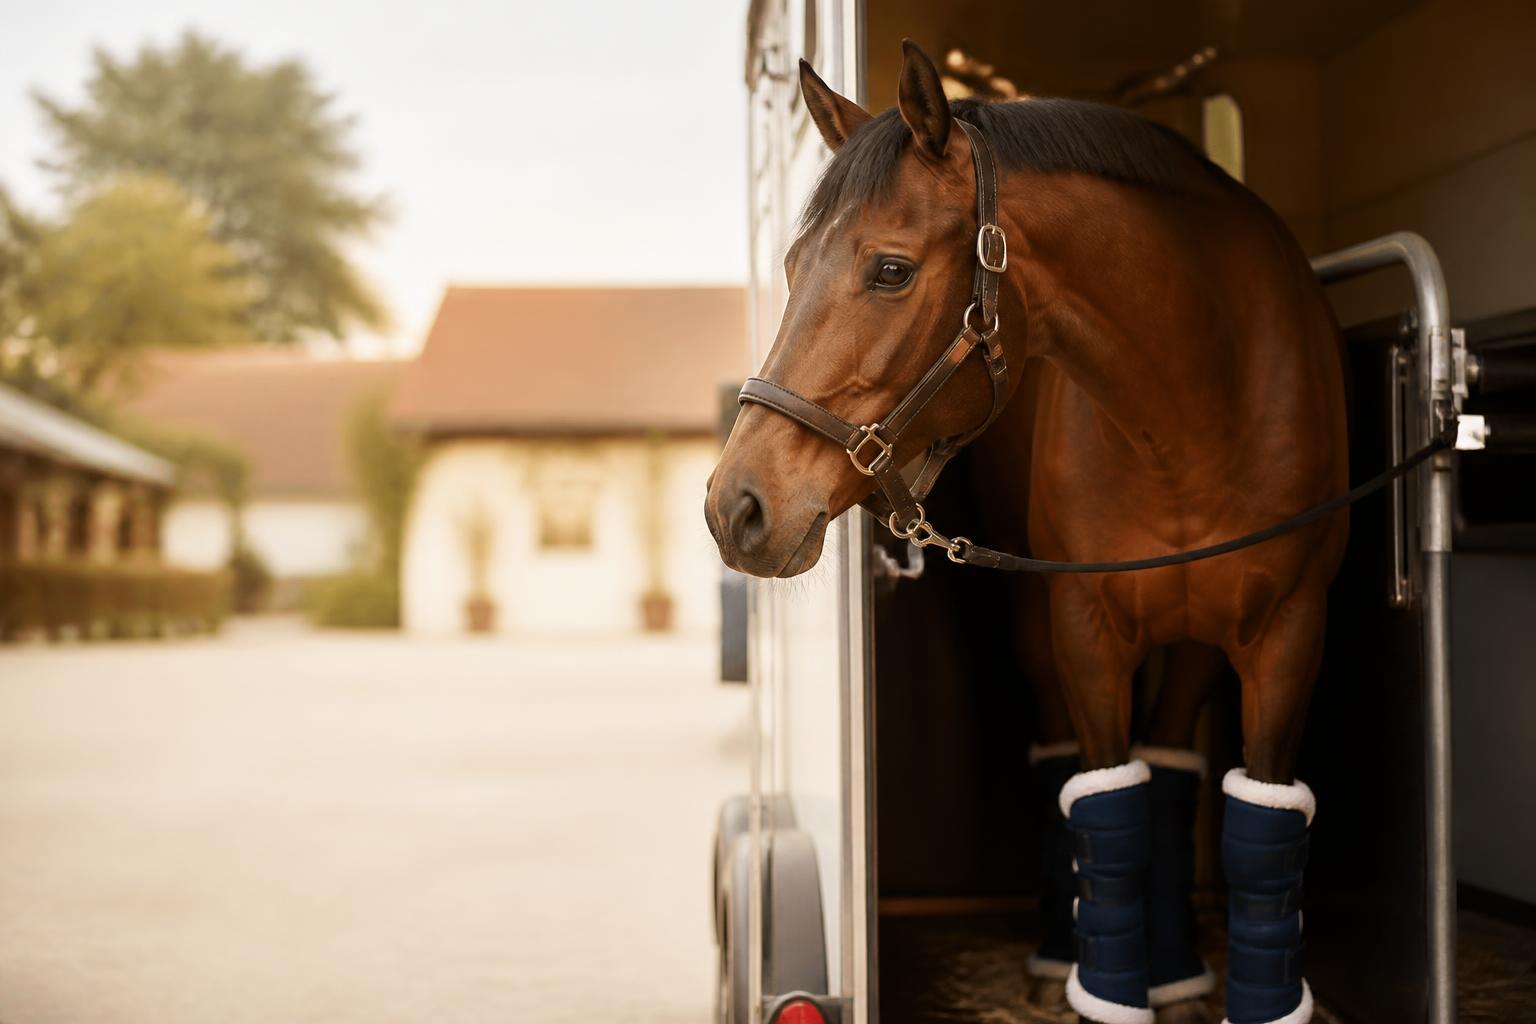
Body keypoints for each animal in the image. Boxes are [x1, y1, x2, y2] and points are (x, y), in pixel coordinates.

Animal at [705, 40, 1347, 1024]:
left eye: (890, 270)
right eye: (790, 263)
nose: (736, 505)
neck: (1204, 402)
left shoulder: (1287, 636)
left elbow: (1254, 835)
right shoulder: (1085, 632)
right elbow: (1106, 819)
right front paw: (1102, 979)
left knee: (1171, 768)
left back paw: (1175, 968)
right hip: (1039, 625)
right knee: (1063, 768)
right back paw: (1058, 951)